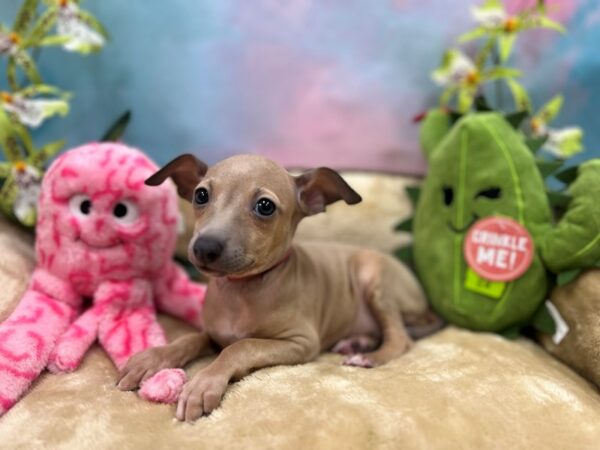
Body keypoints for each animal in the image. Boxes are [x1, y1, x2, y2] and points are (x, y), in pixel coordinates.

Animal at [117, 154, 436, 422]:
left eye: (265, 206)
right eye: (201, 195)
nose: (204, 247)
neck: (241, 290)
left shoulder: (301, 342)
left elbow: (240, 347)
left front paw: (203, 383)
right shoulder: (213, 332)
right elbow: (189, 339)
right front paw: (152, 358)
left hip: (373, 277)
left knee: (400, 338)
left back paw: (369, 356)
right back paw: (358, 342)